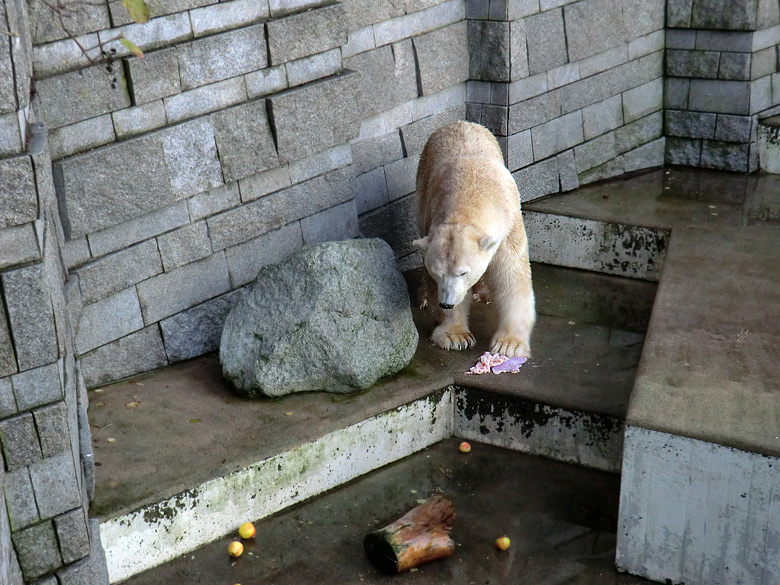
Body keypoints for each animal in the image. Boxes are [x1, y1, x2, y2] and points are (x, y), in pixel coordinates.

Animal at [414, 120, 536, 356]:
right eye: (437, 272)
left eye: (463, 272)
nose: (446, 303)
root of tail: (460, 122)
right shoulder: (432, 216)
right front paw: (455, 336)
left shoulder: (509, 228)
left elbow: (511, 277)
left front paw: (509, 344)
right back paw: (422, 297)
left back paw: (484, 293)